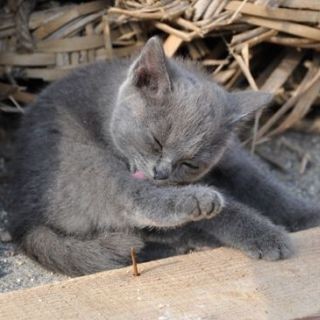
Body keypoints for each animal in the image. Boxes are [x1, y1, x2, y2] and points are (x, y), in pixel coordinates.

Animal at [6, 37, 318, 276]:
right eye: (156, 141)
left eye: (190, 163)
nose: (162, 173)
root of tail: (23, 216)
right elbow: (221, 212)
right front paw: (268, 235)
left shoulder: (232, 157)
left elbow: (263, 183)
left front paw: (306, 214)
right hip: (82, 161)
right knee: (131, 201)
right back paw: (199, 206)